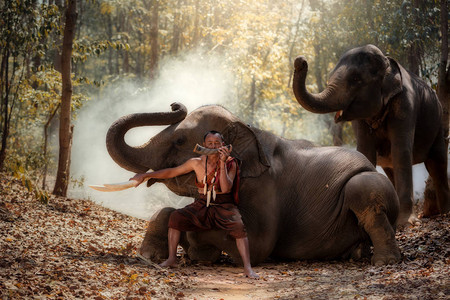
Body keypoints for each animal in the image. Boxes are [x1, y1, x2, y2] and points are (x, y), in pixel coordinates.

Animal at [104, 102, 400, 264]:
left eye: (179, 140)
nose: (175, 105)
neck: (247, 127)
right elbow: (174, 213)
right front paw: (151, 256)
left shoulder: (264, 188)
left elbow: (258, 245)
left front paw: (200, 252)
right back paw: (357, 253)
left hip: (371, 184)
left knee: (363, 192)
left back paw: (383, 261)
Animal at [292, 44, 450, 225]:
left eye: (355, 79)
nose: (300, 61)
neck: (387, 62)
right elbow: (366, 152)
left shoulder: (406, 104)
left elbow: (401, 152)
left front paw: (406, 223)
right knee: (393, 169)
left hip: (438, 122)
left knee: (437, 162)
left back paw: (445, 214)